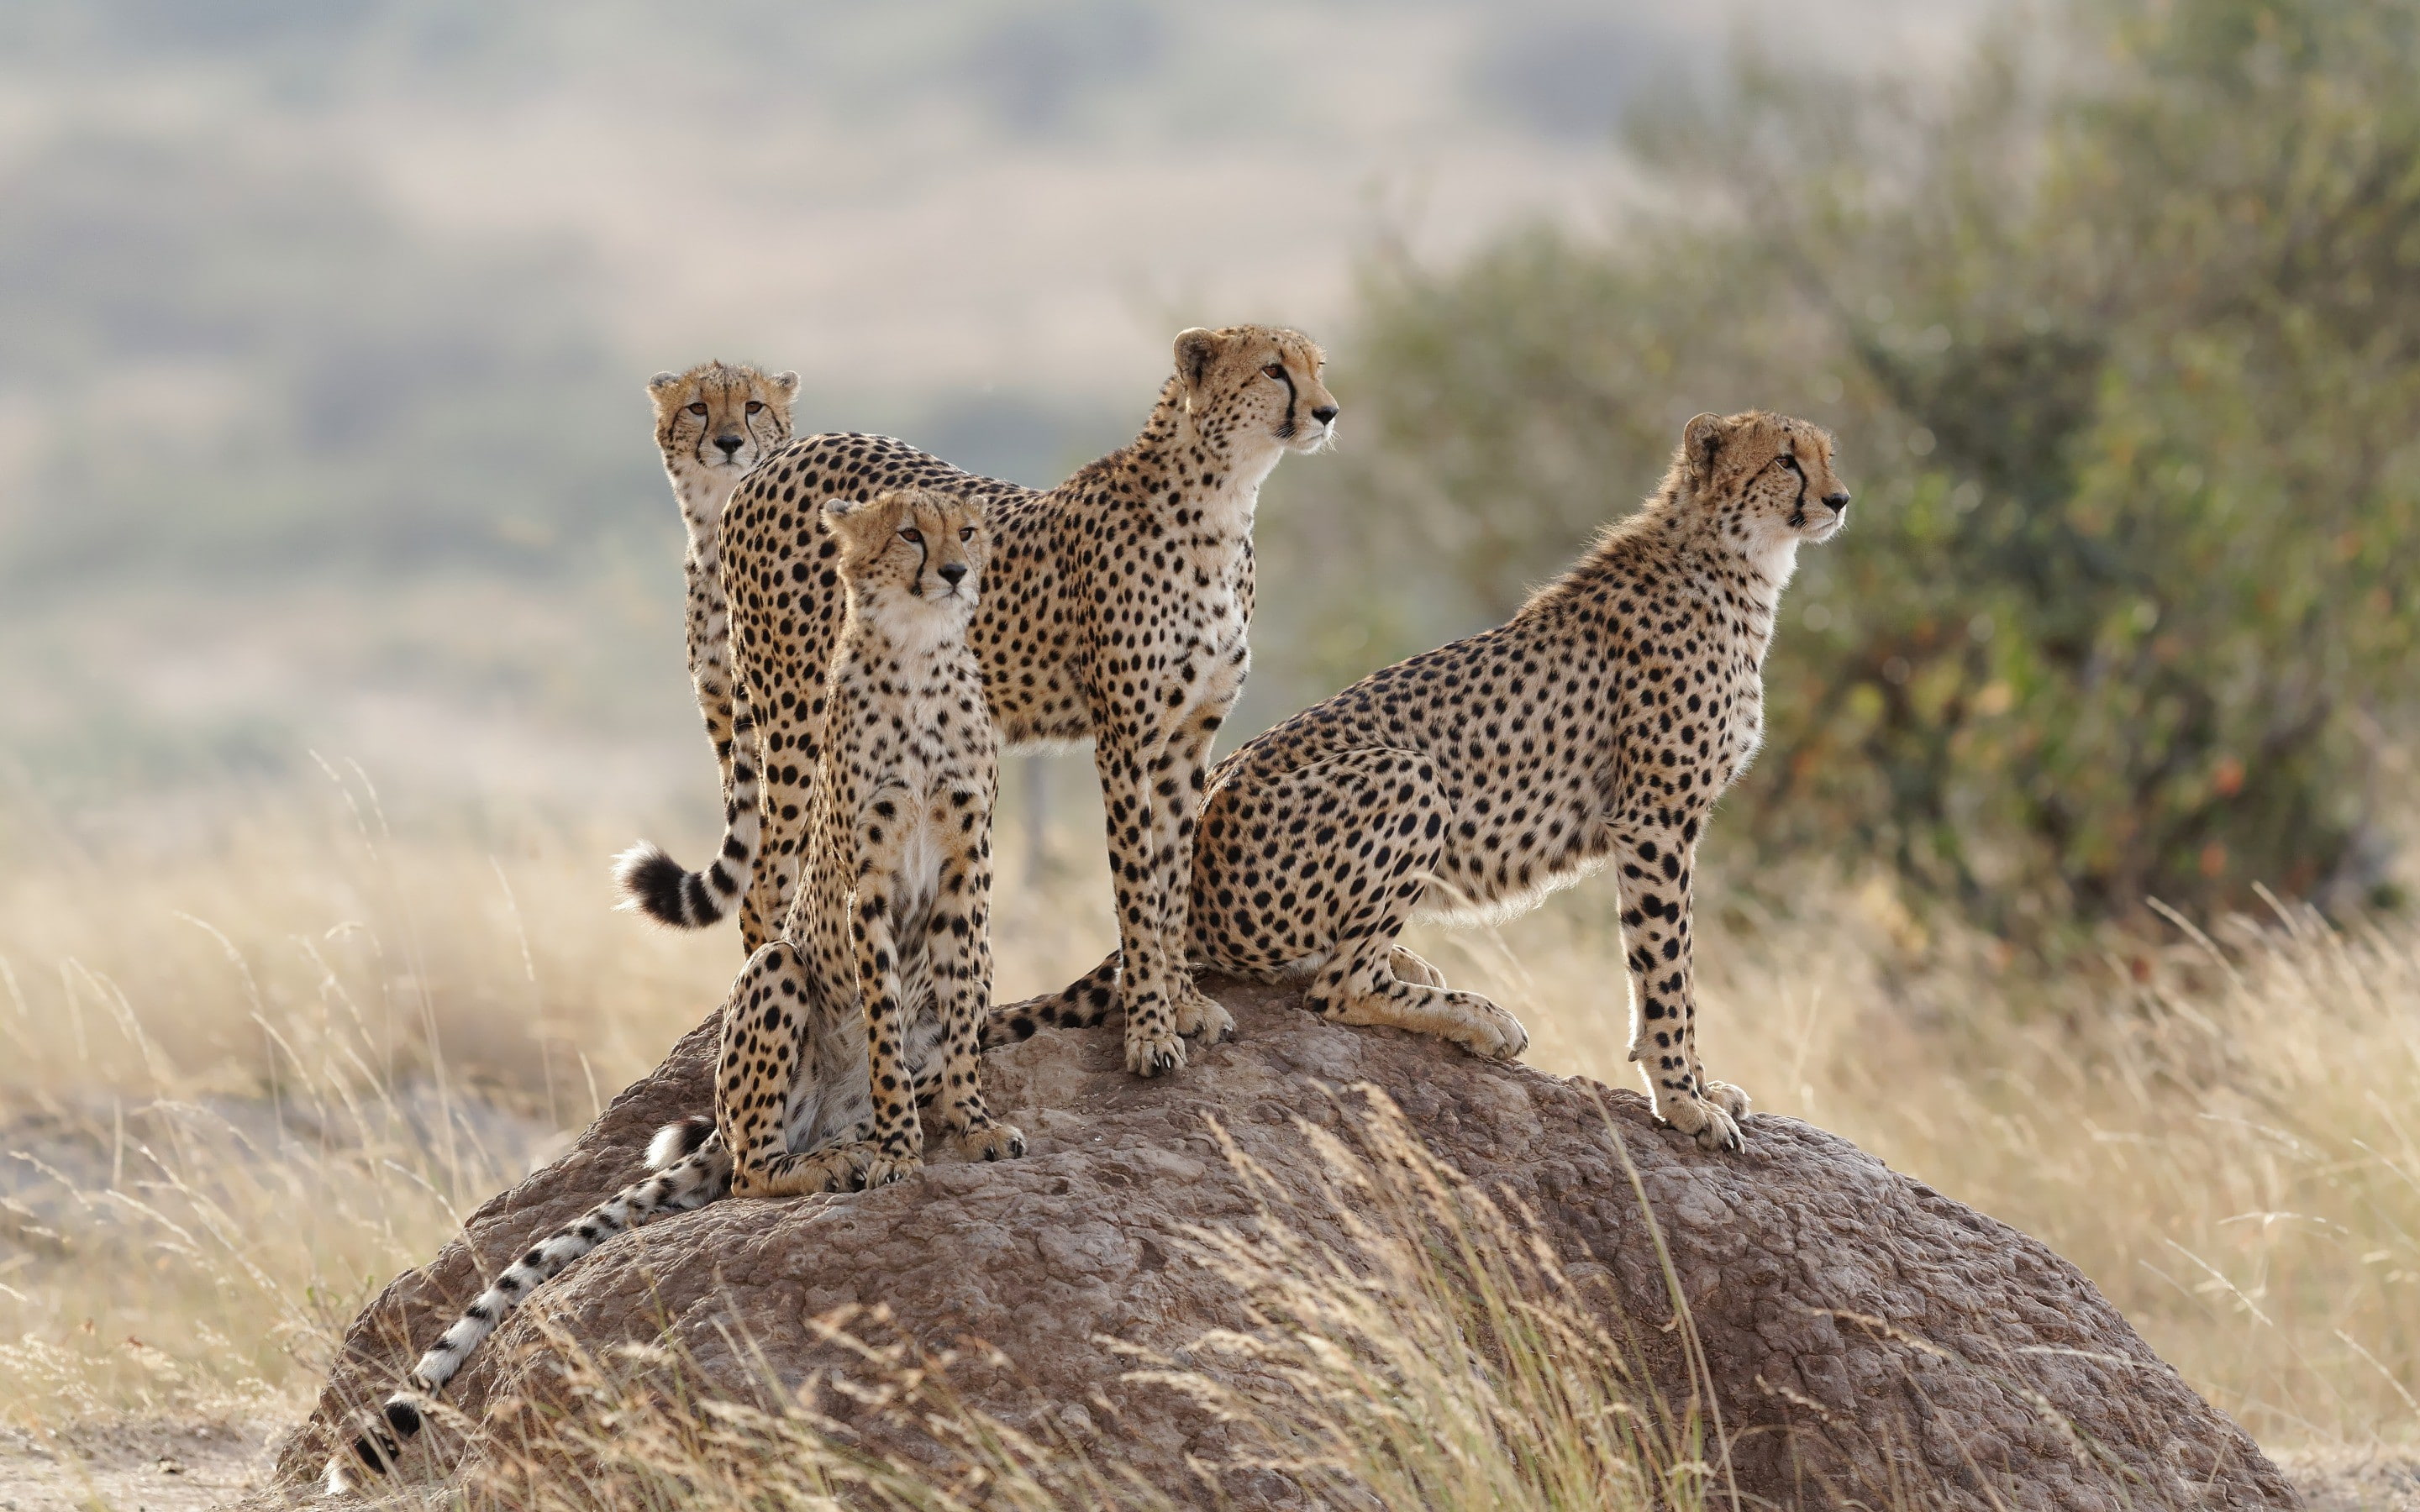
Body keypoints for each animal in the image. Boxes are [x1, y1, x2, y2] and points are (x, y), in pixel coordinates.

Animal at [328, 487, 1018, 1493]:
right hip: (776, 975)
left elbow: (960, 1009)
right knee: (752, 1171)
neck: (923, 658)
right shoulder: (867, 888)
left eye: (966, 530)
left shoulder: (969, 865)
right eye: (909, 535)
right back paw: (834, 1159)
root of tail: (730, 1128)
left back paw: (863, 1140)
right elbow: (889, 1031)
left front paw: (968, 1123)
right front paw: (901, 1149)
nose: (960, 571)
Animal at [990, 411, 1851, 1154]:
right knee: (1336, 989)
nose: (1841, 498)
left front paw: (1700, 1086)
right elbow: (1668, 971)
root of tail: (1207, 811)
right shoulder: (1654, 821)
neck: (1736, 561)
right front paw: (1683, 1101)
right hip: (1410, 774)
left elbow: (1674, 968)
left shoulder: (1666, 823)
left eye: (1826, 454)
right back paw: (1476, 1016)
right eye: (1785, 460)